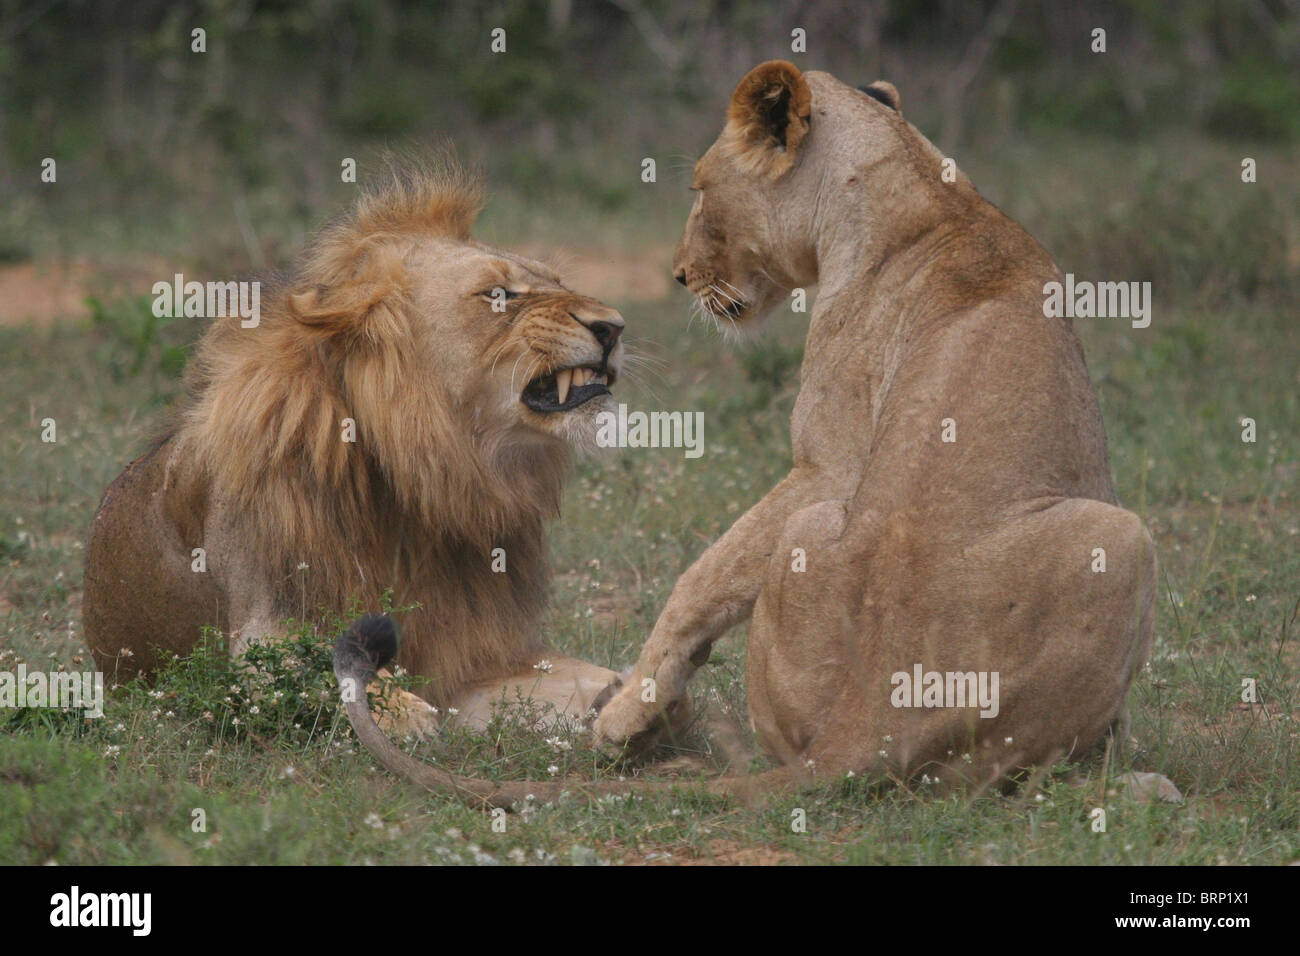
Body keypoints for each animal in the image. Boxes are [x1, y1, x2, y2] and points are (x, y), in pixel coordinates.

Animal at [84, 156, 646, 737]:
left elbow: (584, 677)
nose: (614, 327)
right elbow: (326, 669)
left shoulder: (482, 658)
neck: (422, 475)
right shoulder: (261, 636)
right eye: (500, 295)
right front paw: (404, 714)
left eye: (557, 283)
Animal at [591, 61, 1158, 793]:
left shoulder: (825, 467)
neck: (931, 192)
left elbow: (705, 573)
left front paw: (629, 710)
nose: (681, 274)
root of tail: (873, 715)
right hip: (1122, 537)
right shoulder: (828, 467)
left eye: (700, 189)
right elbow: (708, 574)